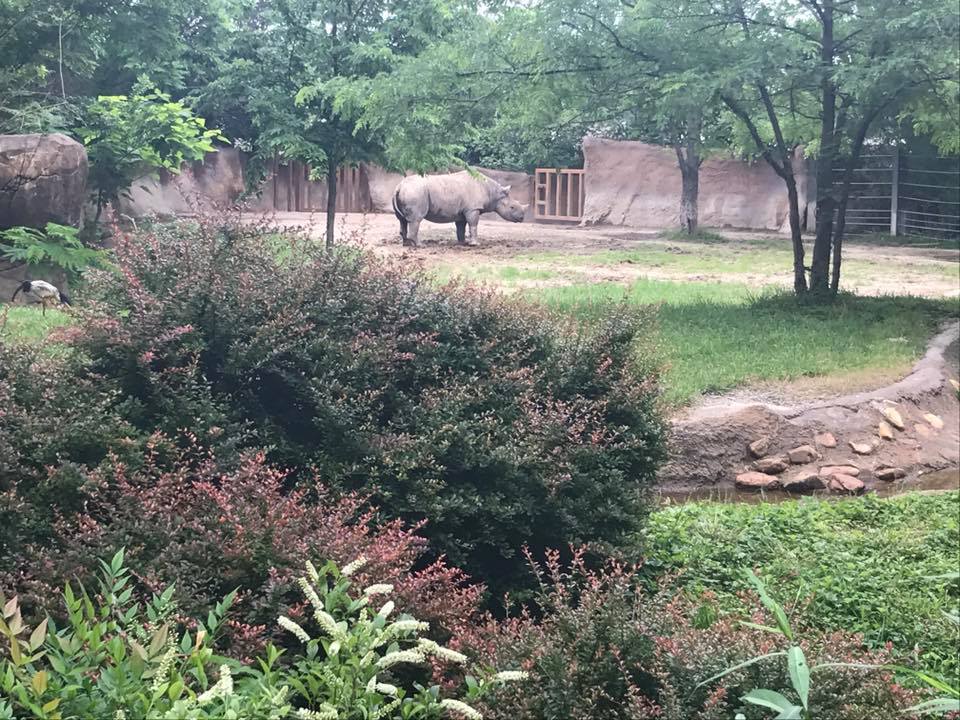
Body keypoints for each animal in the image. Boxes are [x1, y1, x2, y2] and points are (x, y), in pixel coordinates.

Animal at [392, 171, 526, 247]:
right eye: (512, 207)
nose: (522, 218)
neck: (492, 192)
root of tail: (399, 186)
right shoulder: (473, 209)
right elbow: (473, 225)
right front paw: (475, 244)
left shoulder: (462, 211)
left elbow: (461, 227)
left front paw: (462, 243)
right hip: (416, 192)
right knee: (416, 220)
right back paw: (420, 245)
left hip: (408, 191)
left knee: (402, 220)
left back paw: (406, 244)